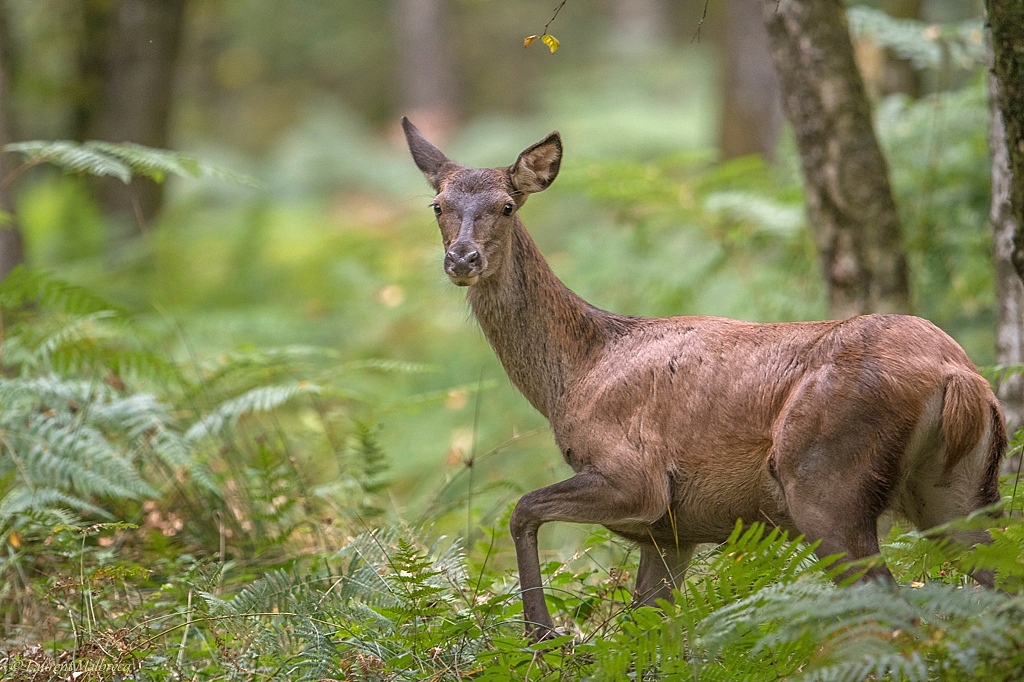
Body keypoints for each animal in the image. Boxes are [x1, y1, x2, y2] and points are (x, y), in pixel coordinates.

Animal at [401, 115, 1007, 638]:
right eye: (438, 205)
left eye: (507, 205)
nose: (463, 258)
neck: (574, 374)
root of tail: (960, 377)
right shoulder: (671, 532)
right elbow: (648, 627)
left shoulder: (636, 477)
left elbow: (522, 509)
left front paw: (541, 636)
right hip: (955, 492)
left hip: (827, 484)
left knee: (895, 606)